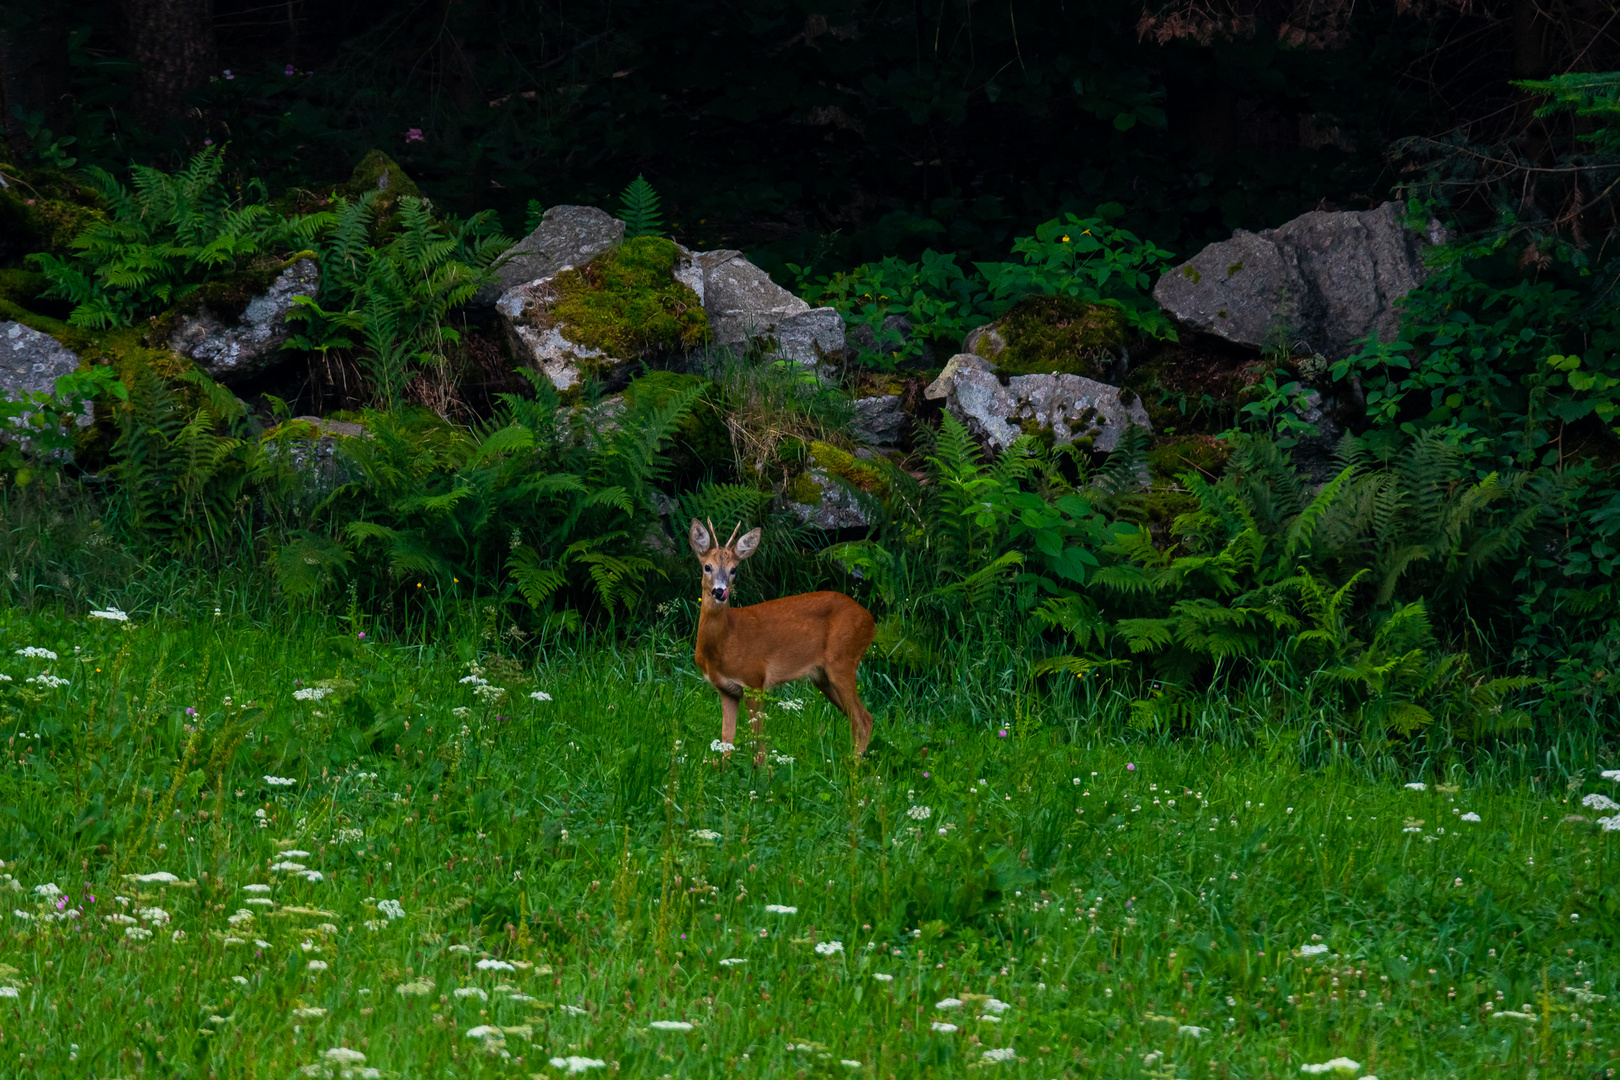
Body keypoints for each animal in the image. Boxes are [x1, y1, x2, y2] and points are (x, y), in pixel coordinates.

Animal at [690, 518, 881, 764]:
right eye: (707, 567)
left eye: (734, 570)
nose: (719, 592)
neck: (724, 642)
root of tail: (871, 621)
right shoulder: (727, 690)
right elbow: (727, 742)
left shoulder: (754, 680)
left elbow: (759, 743)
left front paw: (759, 773)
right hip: (823, 677)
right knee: (861, 718)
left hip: (843, 659)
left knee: (862, 718)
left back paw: (854, 769)